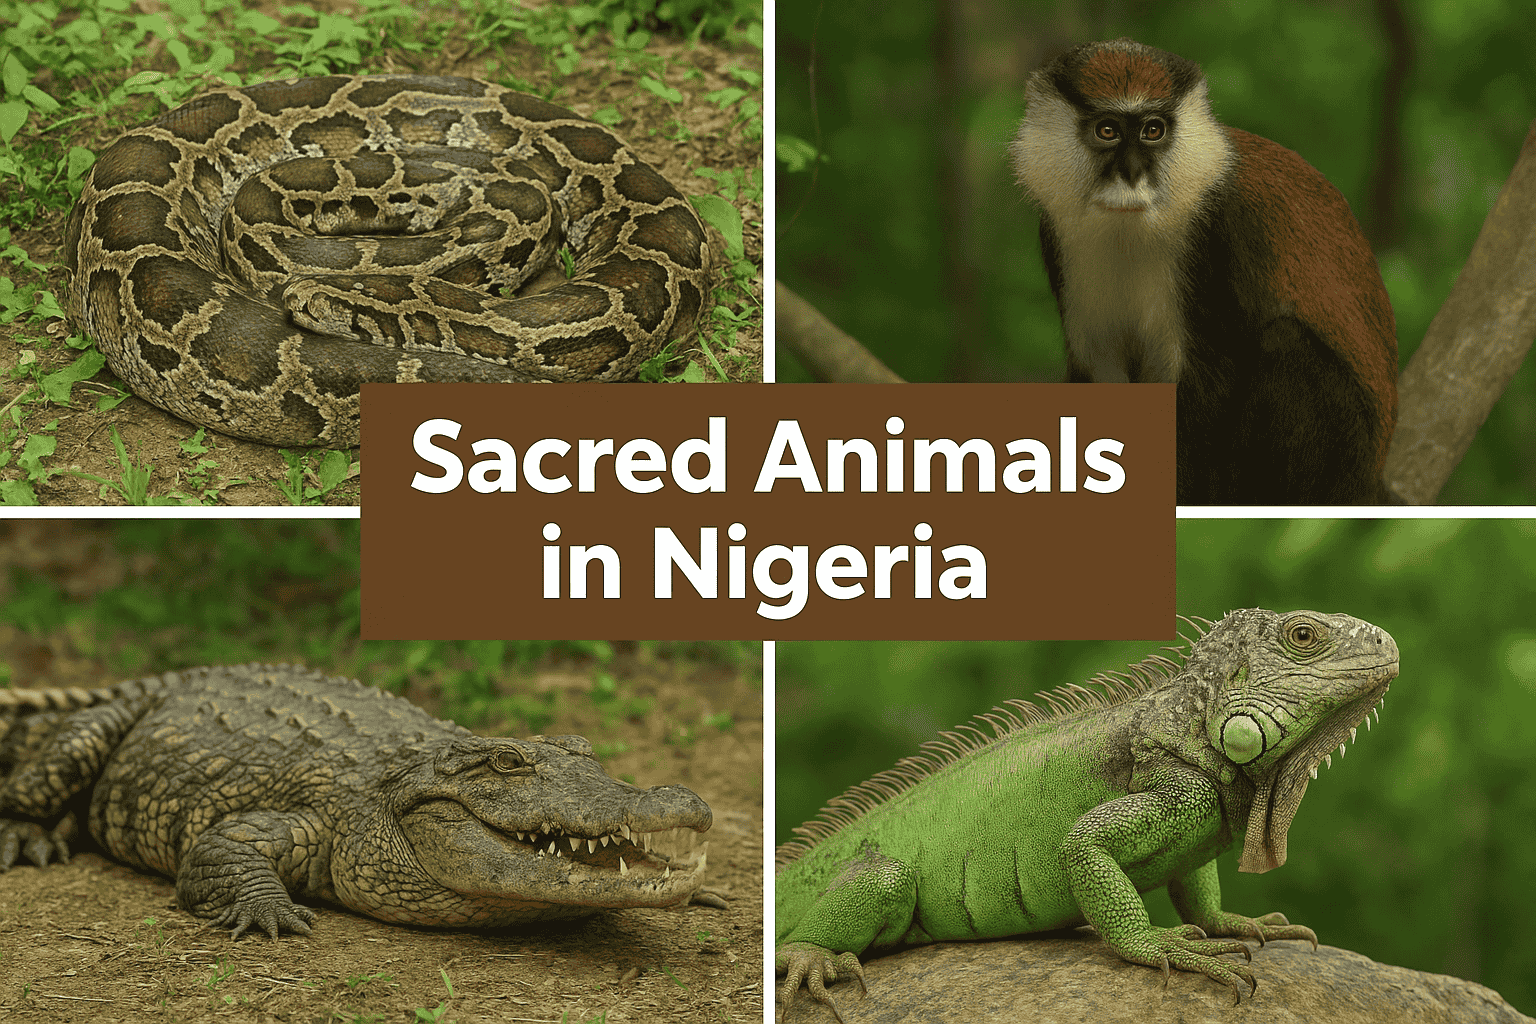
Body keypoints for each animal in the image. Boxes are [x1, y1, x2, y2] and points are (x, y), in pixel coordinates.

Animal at [1010, 39, 1398, 505]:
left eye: (1153, 130)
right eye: (1107, 131)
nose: (1132, 173)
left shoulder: (1217, 232)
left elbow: (1207, 384)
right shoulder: (1058, 238)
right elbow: (1100, 370)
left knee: (1288, 343)